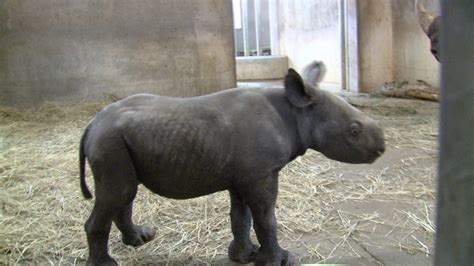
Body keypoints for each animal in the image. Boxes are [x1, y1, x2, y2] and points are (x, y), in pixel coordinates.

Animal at [78, 61, 386, 264]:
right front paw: (280, 260)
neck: (296, 114)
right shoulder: (262, 174)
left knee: (124, 193)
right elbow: (266, 218)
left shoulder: (245, 176)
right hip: (109, 141)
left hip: (115, 140)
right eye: (354, 131)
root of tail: (92, 123)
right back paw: (107, 264)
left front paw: (243, 256)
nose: (382, 148)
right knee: (118, 193)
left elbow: (242, 217)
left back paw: (141, 239)